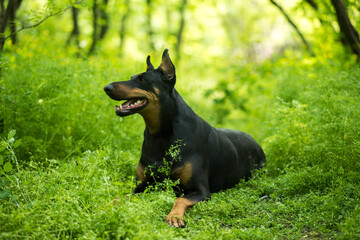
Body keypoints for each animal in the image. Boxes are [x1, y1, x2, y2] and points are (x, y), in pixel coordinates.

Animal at [102, 48, 266, 227]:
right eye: (132, 77)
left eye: (142, 79)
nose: (106, 87)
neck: (160, 134)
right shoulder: (143, 185)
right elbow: (124, 196)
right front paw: (108, 204)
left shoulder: (201, 190)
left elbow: (180, 199)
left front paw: (174, 217)